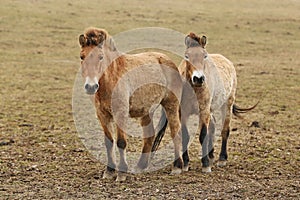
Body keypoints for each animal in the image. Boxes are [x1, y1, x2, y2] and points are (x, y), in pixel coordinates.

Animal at [78, 27, 183, 181]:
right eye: (82, 57)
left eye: (100, 57)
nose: (90, 87)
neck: (112, 77)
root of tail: (168, 60)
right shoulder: (102, 115)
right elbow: (109, 142)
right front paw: (109, 171)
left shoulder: (120, 113)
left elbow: (121, 142)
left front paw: (121, 173)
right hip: (147, 112)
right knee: (149, 136)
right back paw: (140, 166)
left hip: (171, 105)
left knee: (176, 131)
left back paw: (178, 167)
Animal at [151, 32, 256, 172]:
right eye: (187, 56)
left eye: (204, 56)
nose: (198, 78)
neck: (193, 89)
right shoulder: (183, 112)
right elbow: (186, 136)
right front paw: (186, 164)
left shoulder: (203, 109)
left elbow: (203, 135)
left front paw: (205, 165)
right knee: (213, 126)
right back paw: (211, 156)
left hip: (226, 105)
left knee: (225, 130)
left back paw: (222, 159)